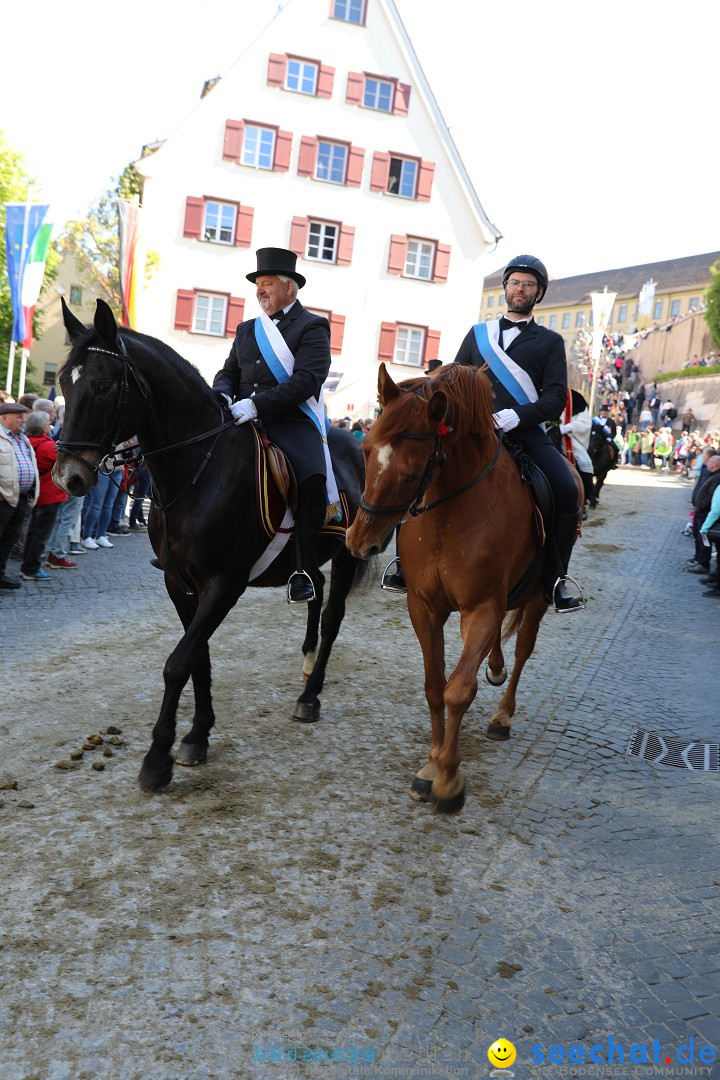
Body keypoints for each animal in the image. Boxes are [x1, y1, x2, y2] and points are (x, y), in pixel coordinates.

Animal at [56, 300, 369, 790]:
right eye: (62, 384)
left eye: (103, 385)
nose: (67, 477)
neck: (197, 469)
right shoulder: (179, 583)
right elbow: (197, 658)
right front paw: (197, 735)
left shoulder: (224, 584)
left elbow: (177, 662)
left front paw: (158, 757)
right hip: (307, 558)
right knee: (313, 588)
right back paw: (305, 657)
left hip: (349, 556)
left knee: (333, 616)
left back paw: (311, 694)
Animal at [345, 362, 587, 812]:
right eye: (365, 451)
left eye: (410, 472)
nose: (358, 541)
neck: (450, 513)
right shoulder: (424, 606)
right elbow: (434, 685)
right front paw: (431, 764)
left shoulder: (482, 608)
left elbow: (458, 689)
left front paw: (447, 779)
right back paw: (494, 667)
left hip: (538, 597)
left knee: (523, 649)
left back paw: (503, 715)